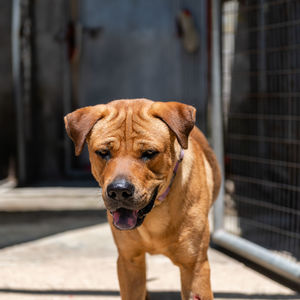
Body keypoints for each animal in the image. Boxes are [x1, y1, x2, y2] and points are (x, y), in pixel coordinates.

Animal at [64, 99, 221, 300]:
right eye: (103, 152)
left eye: (149, 152)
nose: (119, 191)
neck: (155, 213)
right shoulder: (128, 261)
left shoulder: (194, 268)